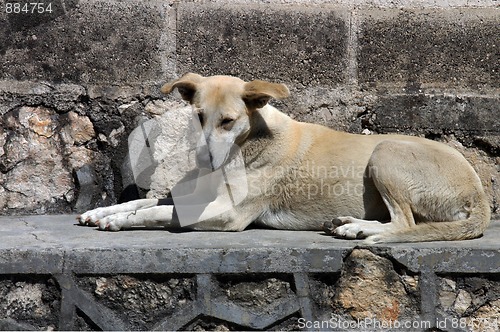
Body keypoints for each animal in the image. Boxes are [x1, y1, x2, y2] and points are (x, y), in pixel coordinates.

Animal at [76, 73, 490, 244]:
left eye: (228, 121)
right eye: (198, 116)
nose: (205, 158)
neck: (249, 144)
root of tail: (480, 195)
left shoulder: (227, 215)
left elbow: (159, 211)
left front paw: (121, 221)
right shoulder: (197, 194)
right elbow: (146, 200)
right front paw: (102, 212)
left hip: (386, 152)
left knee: (404, 222)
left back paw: (359, 230)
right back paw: (349, 223)